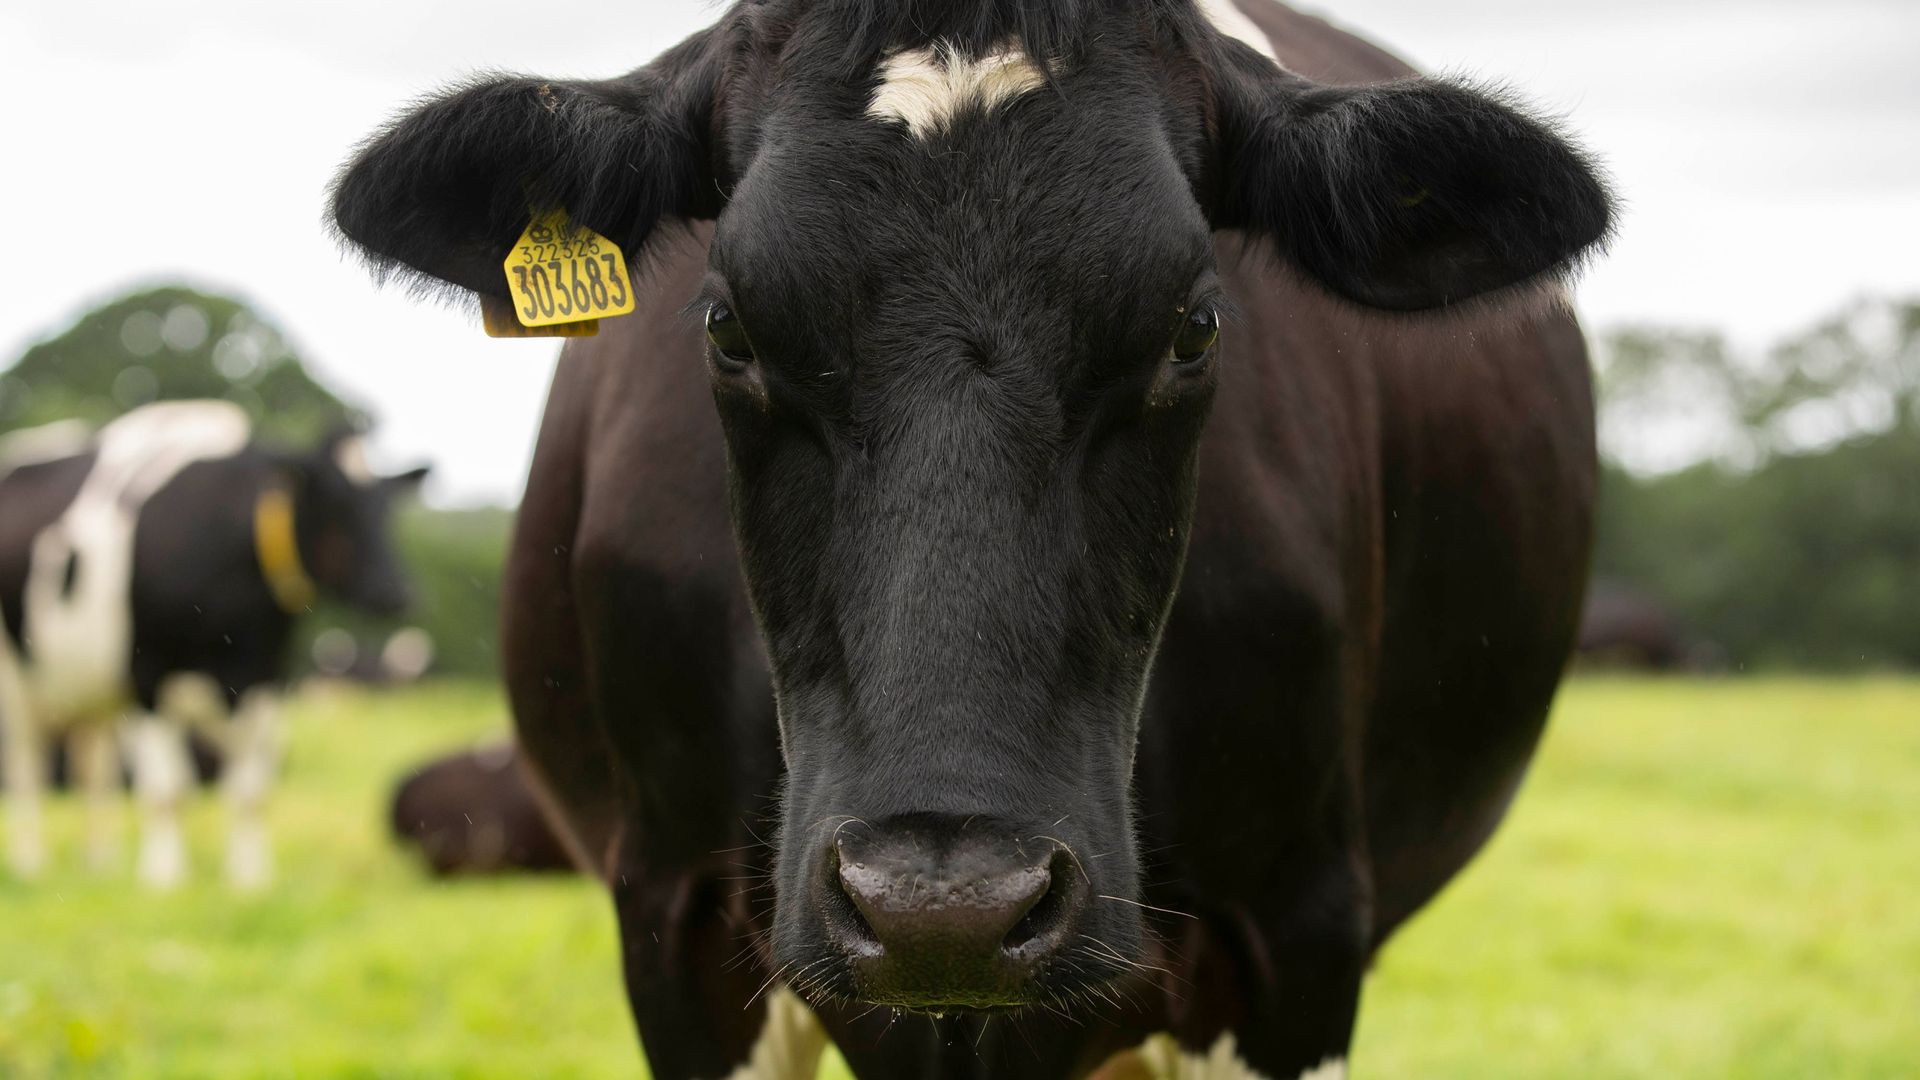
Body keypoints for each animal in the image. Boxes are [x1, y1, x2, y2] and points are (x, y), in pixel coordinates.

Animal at [0, 400, 427, 888]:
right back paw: (30, 864)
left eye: (386, 509)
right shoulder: (148, 676)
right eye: (336, 505)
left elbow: (250, 790)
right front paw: (164, 876)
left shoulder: (263, 678)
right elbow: (166, 790)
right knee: (27, 768)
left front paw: (250, 878)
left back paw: (100, 863)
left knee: (93, 769)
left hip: (90, 691)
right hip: (18, 682)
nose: (395, 593)